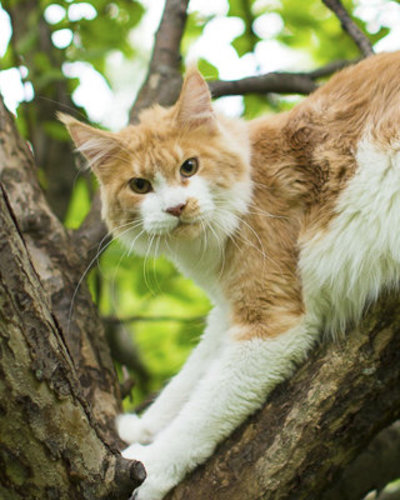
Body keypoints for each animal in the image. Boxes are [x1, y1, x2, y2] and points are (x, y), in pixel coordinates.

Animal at [61, 51, 400, 500]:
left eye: (189, 167)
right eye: (140, 185)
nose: (177, 207)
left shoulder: (271, 324)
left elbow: (203, 412)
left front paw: (151, 466)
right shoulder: (227, 309)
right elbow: (190, 378)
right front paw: (146, 426)